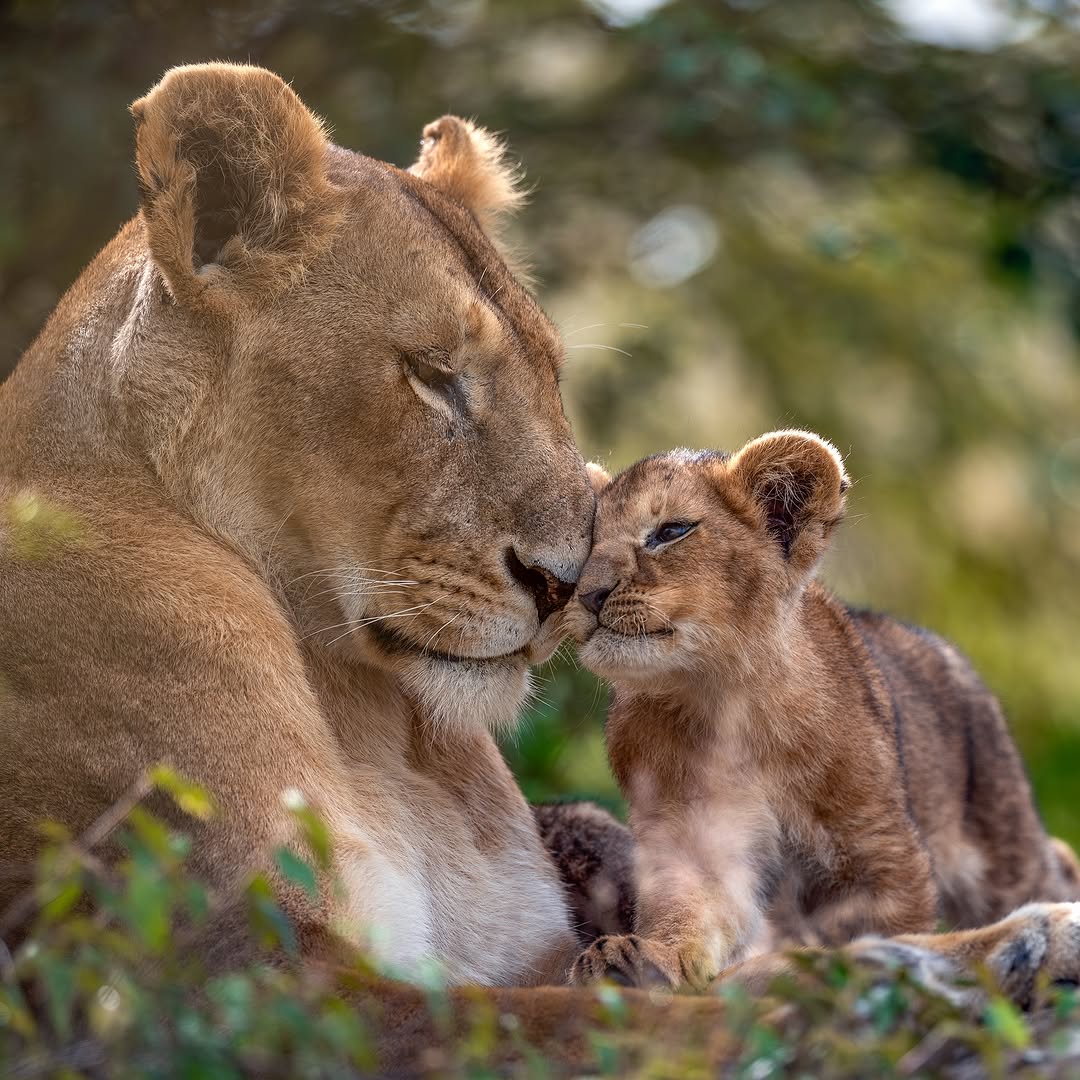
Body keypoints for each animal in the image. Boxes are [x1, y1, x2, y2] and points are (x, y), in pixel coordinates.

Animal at [562, 433, 1080, 991]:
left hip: (1005, 843)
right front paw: (642, 960)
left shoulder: (877, 851)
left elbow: (886, 934)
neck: (724, 703)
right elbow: (688, 911)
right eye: (586, 541)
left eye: (671, 532)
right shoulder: (693, 839)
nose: (587, 594)